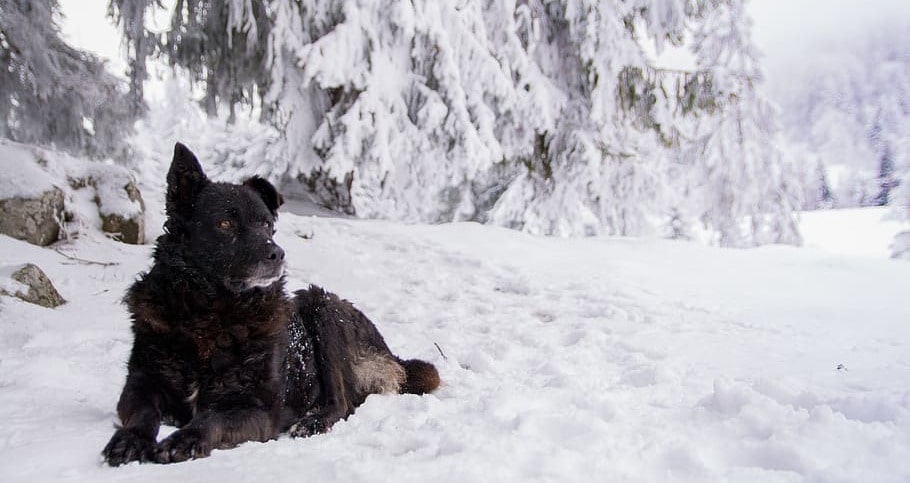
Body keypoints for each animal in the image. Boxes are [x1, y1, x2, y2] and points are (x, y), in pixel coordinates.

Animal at [101, 143, 440, 466]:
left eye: (266, 225)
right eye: (225, 223)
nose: (277, 254)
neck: (210, 312)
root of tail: (389, 351)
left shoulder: (257, 408)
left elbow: (211, 418)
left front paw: (184, 440)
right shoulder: (140, 383)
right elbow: (144, 413)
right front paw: (130, 439)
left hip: (322, 307)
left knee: (342, 403)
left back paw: (311, 422)